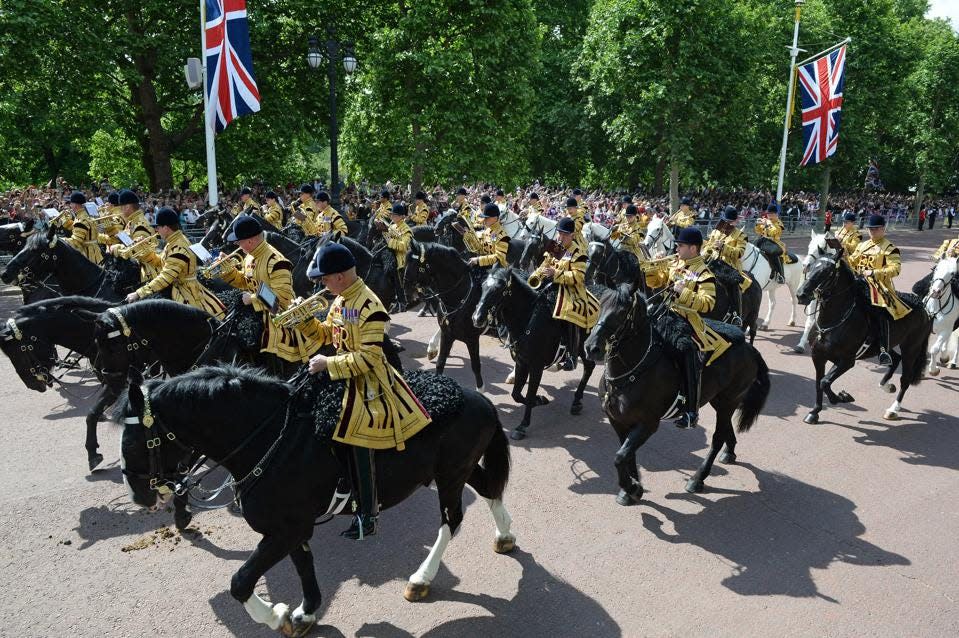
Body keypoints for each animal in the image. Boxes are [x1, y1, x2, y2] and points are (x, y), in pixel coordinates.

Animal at [118, 368, 516, 636]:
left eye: (134, 441)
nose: (138, 494)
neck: (272, 440)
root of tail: (480, 400)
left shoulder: (287, 529)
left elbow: (241, 581)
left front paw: (275, 615)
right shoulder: (290, 528)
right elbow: (303, 566)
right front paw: (306, 612)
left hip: (451, 474)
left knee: (452, 519)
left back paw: (420, 578)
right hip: (457, 470)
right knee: (489, 489)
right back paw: (505, 536)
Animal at [404, 241, 488, 388]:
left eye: (416, 266)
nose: (406, 292)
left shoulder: (472, 339)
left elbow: (476, 366)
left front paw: (481, 389)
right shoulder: (447, 333)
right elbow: (440, 363)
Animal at [470, 268, 596, 440]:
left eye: (499, 289)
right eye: (483, 286)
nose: (477, 318)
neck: (527, 320)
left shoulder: (536, 366)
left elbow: (529, 394)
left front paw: (522, 426)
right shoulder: (521, 362)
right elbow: (516, 394)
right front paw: (540, 400)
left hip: (584, 347)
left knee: (589, 366)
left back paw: (576, 401)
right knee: (589, 366)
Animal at [584, 286, 772, 504]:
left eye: (622, 313)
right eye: (600, 306)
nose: (591, 347)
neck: (633, 372)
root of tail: (751, 349)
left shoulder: (648, 424)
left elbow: (620, 456)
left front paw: (632, 488)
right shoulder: (618, 421)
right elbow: (626, 454)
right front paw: (631, 489)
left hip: (729, 401)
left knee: (717, 437)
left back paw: (697, 479)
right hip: (719, 401)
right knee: (725, 429)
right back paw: (729, 451)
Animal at [796, 255, 928, 424]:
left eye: (828, 272)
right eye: (810, 267)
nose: (801, 295)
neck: (831, 323)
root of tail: (923, 306)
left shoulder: (847, 361)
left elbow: (824, 381)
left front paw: (842, 397)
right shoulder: (818, 357)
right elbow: (819, 382)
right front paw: (814, 412)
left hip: (911, 348)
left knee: (905, 379)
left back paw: (893, 410)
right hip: (885, 346)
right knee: (894, 359)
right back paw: (886, 386)